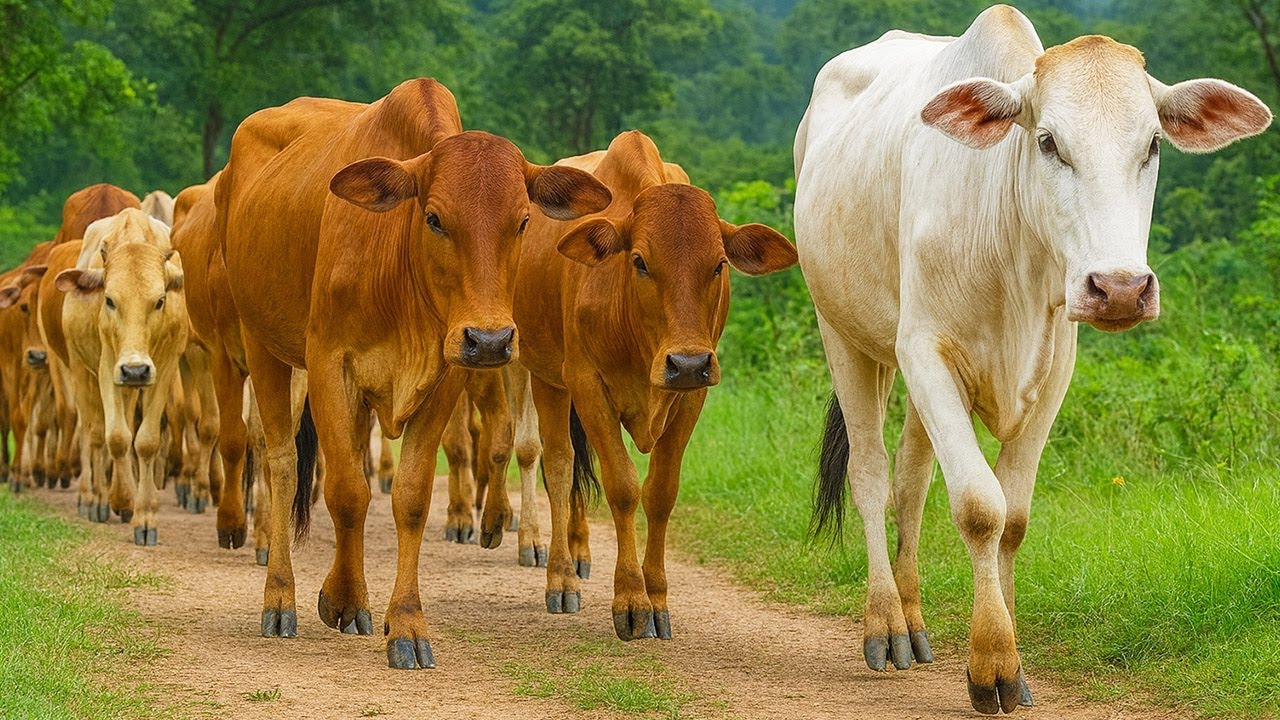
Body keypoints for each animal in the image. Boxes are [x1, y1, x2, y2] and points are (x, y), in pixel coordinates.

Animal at [56, 209, 189, 544]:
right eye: (110, 300)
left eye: (159, 301)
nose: (135, 369)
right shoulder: (107, 368)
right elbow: (115, 437)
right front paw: (122, 499)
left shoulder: (165, 366)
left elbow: (146, 441)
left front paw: (145, 515)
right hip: (81, 369)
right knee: (92, 432)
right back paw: (94, 498)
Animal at [216, 78, 611, 668]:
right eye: (435, 218)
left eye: (522, 221)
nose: (490, 340)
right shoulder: (329, 363)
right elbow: (347, 492)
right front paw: (344, 600)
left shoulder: (447, 376)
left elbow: (410, 498)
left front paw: (403, 624)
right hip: (260, 341)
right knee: (283, 463)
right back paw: (280, 598)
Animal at [513, 130, 797, 640]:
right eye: (640, 261)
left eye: (719, 264)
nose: (686, 363)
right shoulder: (587, 385)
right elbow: (623, 487)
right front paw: (630, 601)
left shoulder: (693, 395)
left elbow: (661, 492)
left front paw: (658, 599)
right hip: (546, 378)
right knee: (559, 464)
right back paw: (562, 578)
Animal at [795, 6, 1272, 714]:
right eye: (1048, 142)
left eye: (1153, 145)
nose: (1121, 288)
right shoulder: (924, 350)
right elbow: (979, 507)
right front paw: (990, 663)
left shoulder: (1053, 372)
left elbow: (1013, 519)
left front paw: (1012, 660)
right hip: (845, 334)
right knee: (872, 476)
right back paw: (884, 624)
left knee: (910, 481)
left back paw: (913, 619)